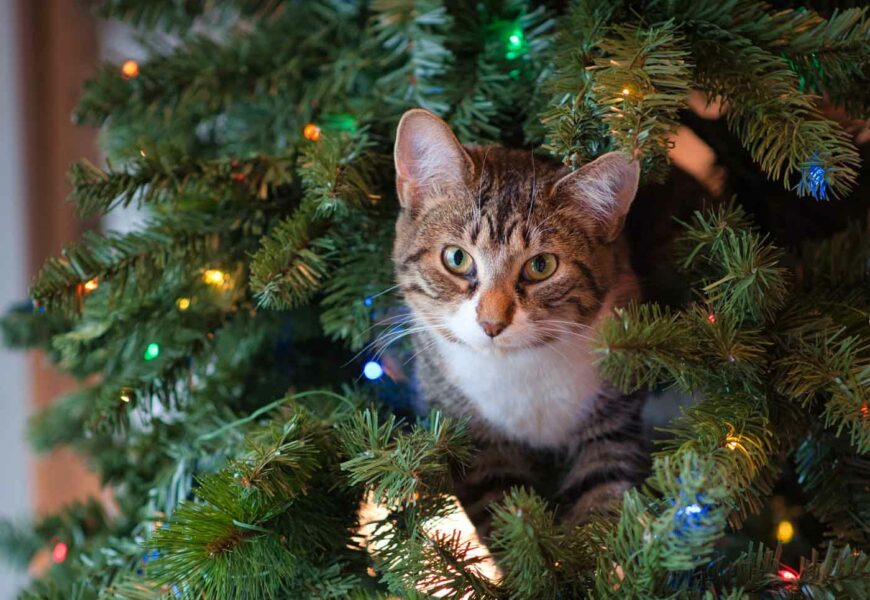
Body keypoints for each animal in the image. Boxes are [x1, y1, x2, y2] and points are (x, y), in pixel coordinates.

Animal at [392, 109, 652, 540]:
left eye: (541, 265)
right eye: (456, 258)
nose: (491, 322)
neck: (519, 367)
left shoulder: (613, 418)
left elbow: (602, 499)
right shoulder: (476, 444)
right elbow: (509, 517)